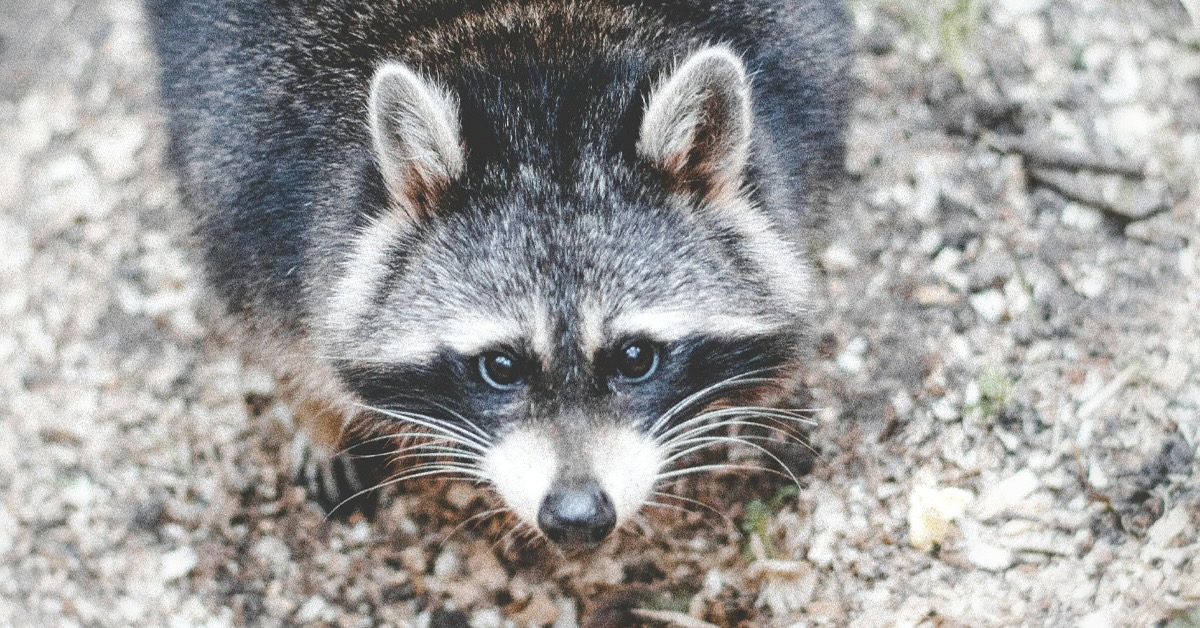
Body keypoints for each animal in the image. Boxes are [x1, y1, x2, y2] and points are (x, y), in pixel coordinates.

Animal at [148, 0, 849, 548]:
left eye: (635, 357)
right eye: (501, 366)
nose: (576, 518)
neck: (537, 52)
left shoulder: (801, 101)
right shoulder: (251, 177)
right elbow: (270, 322)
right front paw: (314, 409)